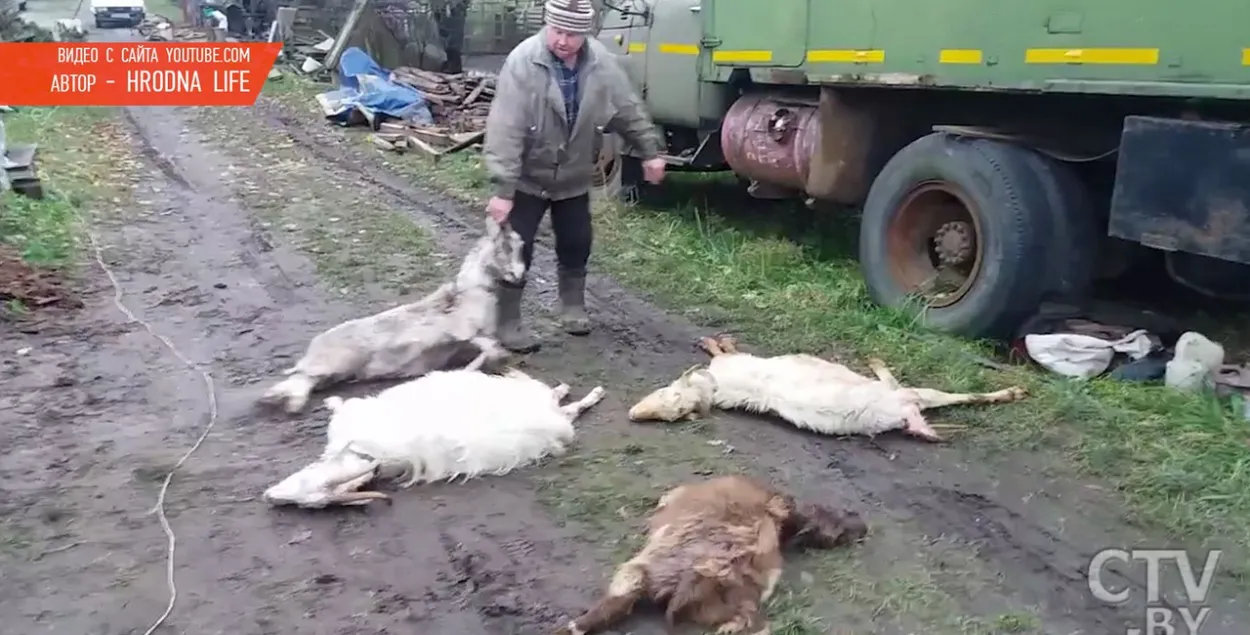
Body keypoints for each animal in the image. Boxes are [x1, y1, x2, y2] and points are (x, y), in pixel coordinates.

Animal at [258, 218, 522, 415]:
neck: (474, 290)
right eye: (506, 247)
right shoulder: (465, 331)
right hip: (334, 362)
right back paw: (281, 401)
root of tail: (313, 349)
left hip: (334, 371)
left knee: (304, 381)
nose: (519, 275)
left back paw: (280, 400)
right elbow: (488, 346)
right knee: (301, 378)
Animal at [625, 332, 1025, 442]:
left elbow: (725, 349)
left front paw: (715, 341)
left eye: (667, 397)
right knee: (946, 397)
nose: (633, 414)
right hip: (910, 397)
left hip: (906, 397)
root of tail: (901, 415)